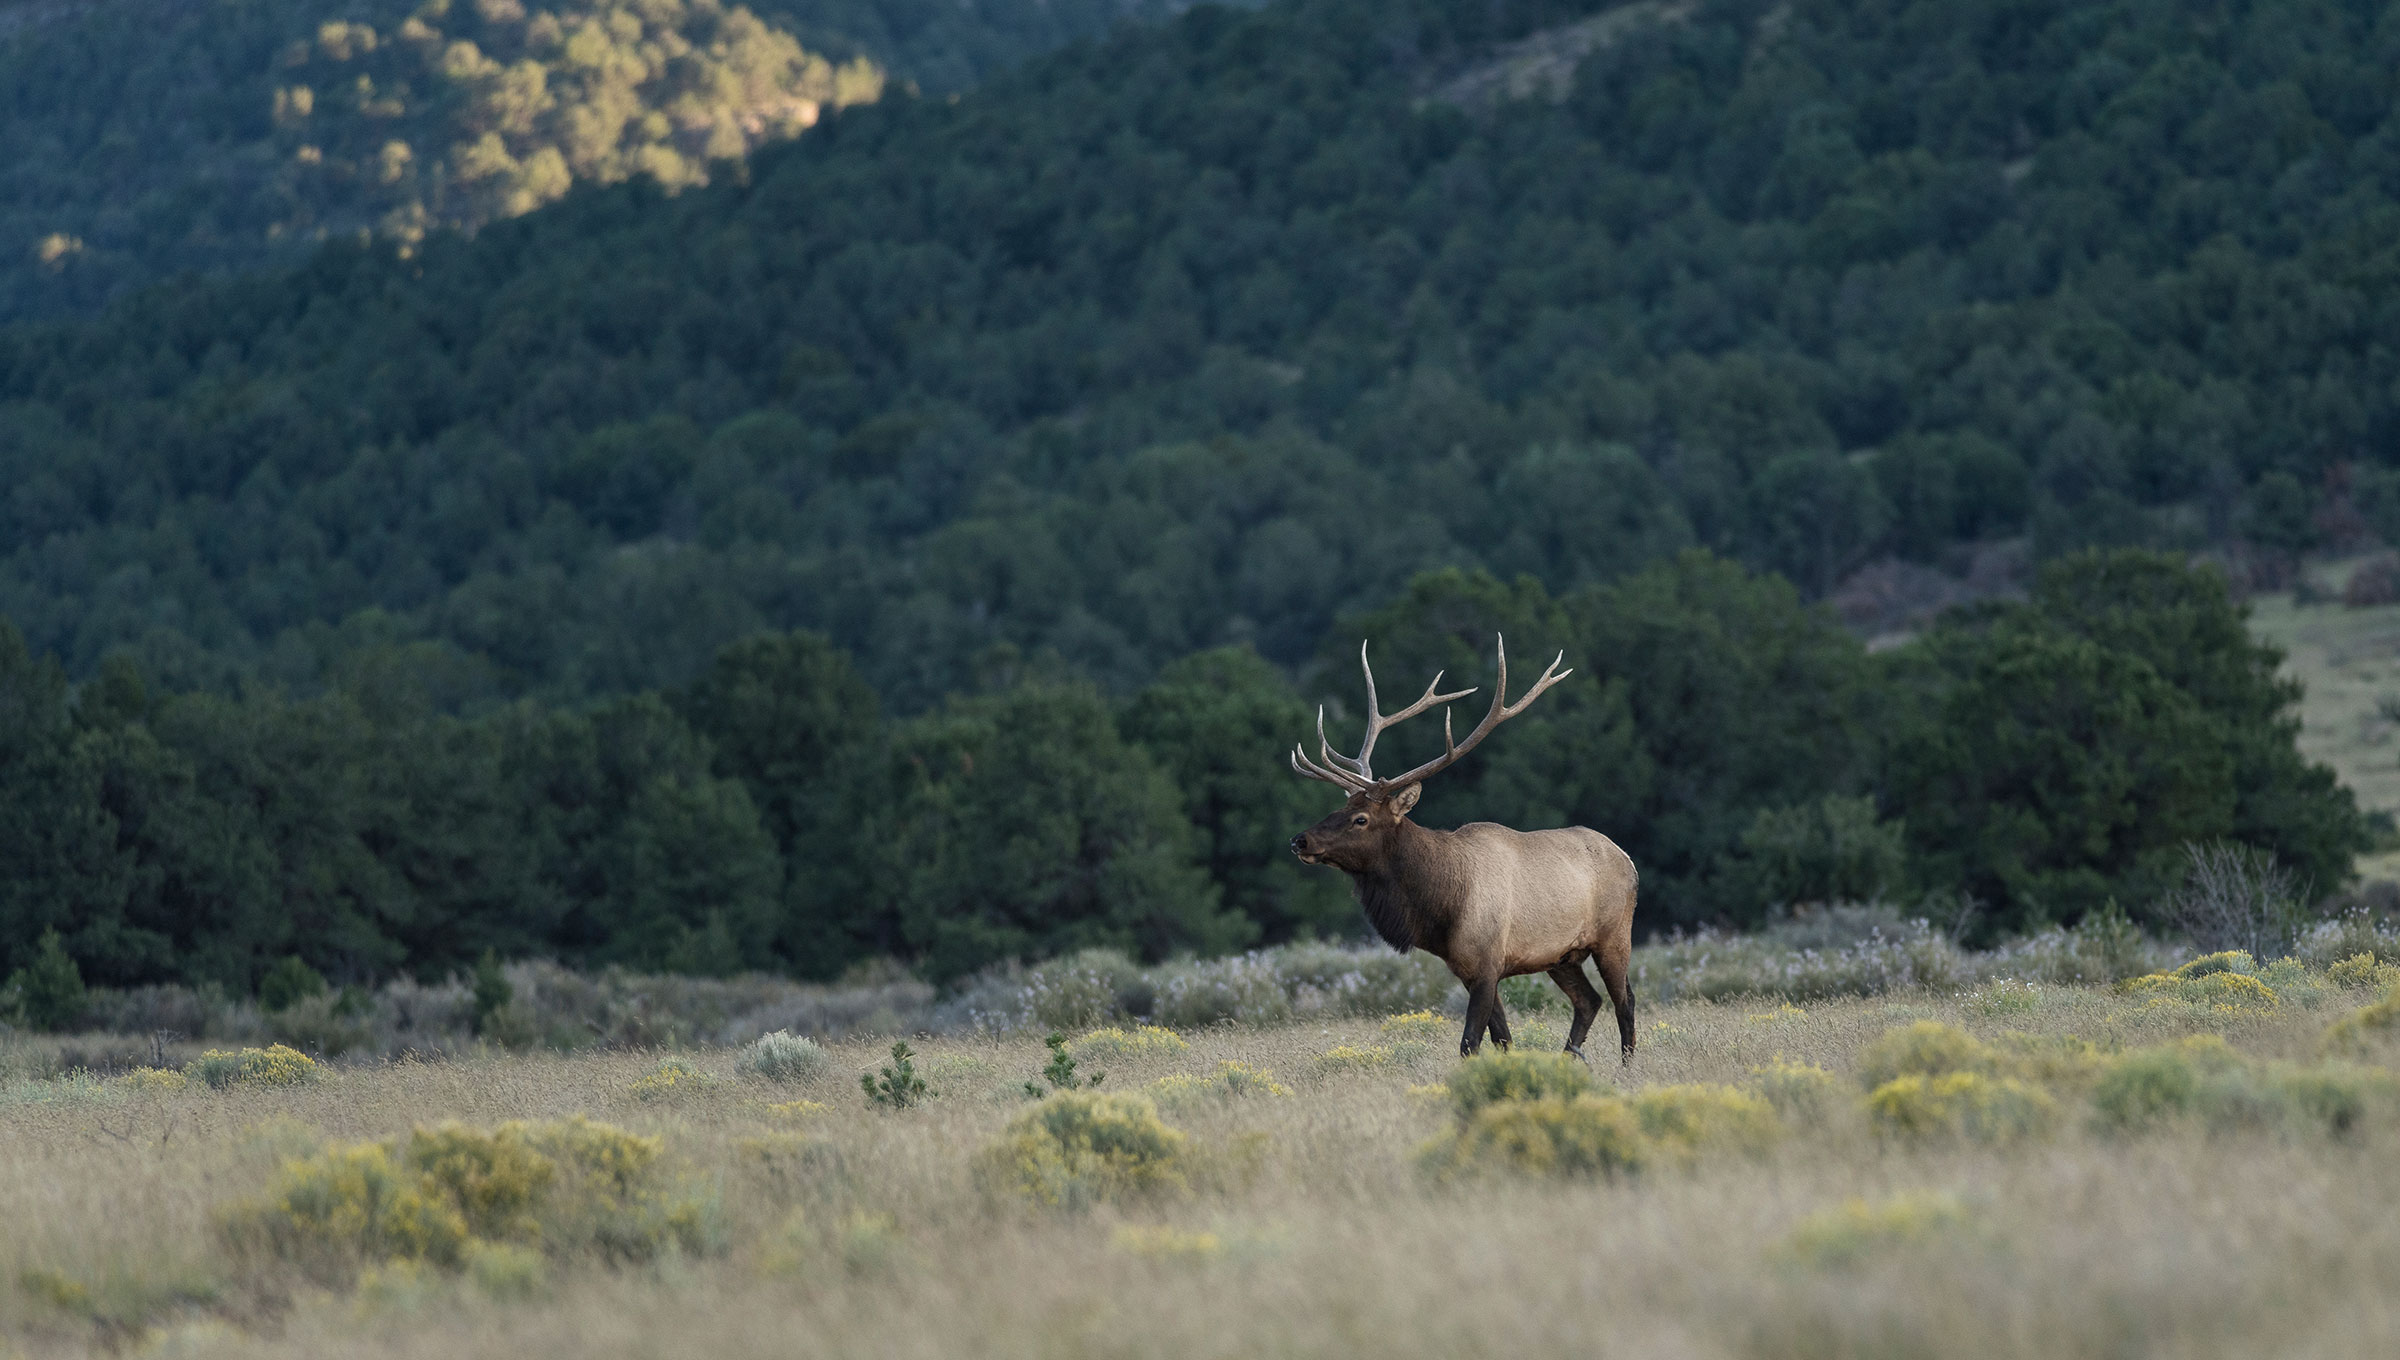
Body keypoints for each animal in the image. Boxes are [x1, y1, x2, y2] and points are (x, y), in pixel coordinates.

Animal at [1296, 638, 1632, 1064]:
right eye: (1339, 808)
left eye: (1360, 819)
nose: (1301, 840)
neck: (1443, 907)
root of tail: (1628, 858)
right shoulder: (1466, 969)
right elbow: (1502, 1039)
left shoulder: (1488, 964)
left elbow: (1470, 1043)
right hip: (1561, 955)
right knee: (1589, 1001)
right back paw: (1568, 1059)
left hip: (1614, 935)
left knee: (1624, 1001)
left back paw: (1627, 1065)